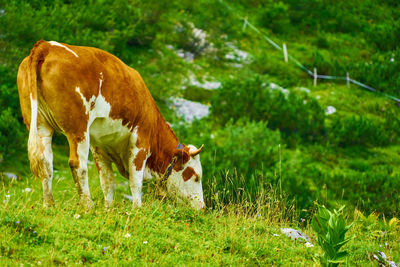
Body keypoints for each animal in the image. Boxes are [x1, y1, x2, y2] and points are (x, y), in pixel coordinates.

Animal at [18, 39, 206, 211]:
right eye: (196, 176)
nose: (203, 207)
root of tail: (46, 45)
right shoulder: (141, 141)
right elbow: (135, 181)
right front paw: (137, 209)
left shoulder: (99, 146)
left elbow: (107, 181)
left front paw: (108, 208)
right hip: (78, 128)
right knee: (78, 164)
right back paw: (87, 205)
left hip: (40, 125)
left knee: (45, 162)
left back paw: (48, 204)